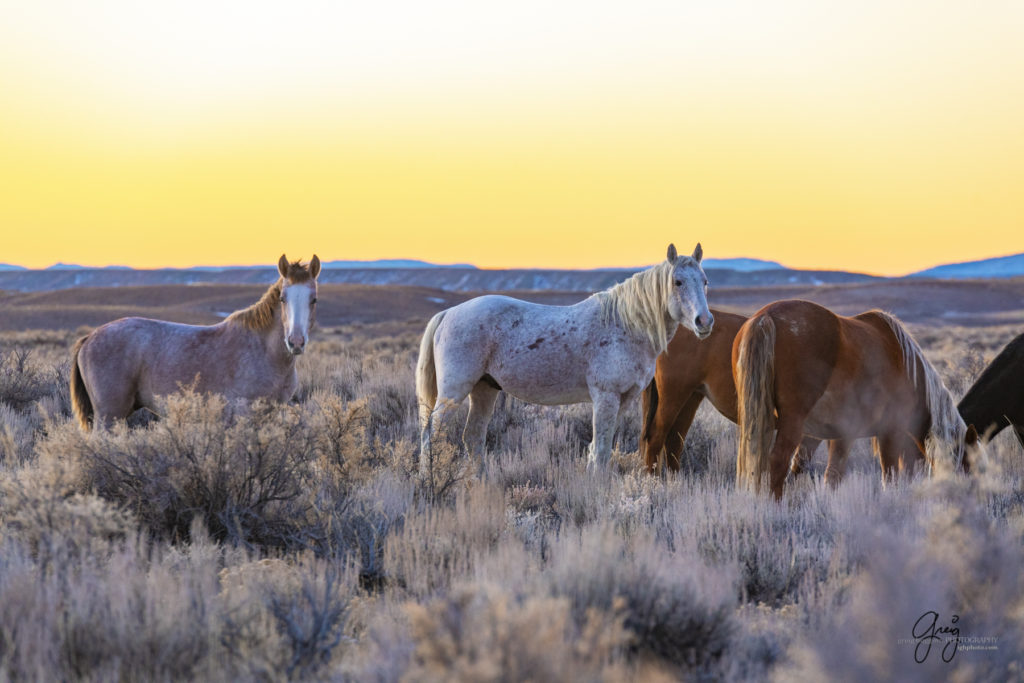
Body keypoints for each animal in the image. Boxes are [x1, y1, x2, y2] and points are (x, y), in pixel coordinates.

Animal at [71, 253, 319, 430]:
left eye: (314, 299)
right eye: (282, 298)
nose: (296, 342)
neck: (265, 352)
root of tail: (89, 338)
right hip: (109, 417)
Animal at [415, 242, 712, 473]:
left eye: (705, 281)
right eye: (678, 282)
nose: (705, 321)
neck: (625, 325)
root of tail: (448, 313)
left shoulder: (623, 400)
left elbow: (598, 450)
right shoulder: (605, 397)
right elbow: (600, 451)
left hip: (484, 389)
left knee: (473, 437)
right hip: (455, 391)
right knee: (431, 435)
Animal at [733, 299, 970, 497]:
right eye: (968, 463)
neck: (907, 368)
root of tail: (765, 317)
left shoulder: (829, 435)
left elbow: (823, 473)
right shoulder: (890, 431)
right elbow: (890, 475)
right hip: (792, 420)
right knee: (777, 460)